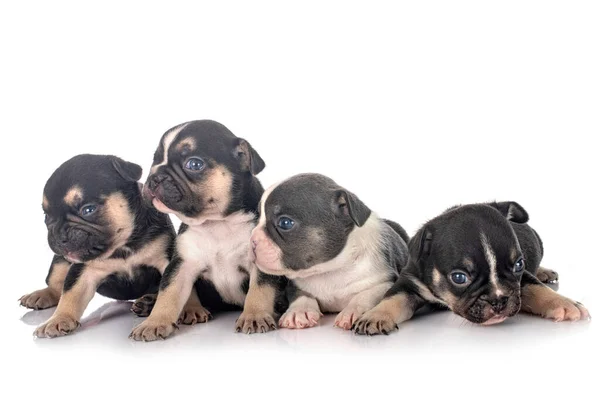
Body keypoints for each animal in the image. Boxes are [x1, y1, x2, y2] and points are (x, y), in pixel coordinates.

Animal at [21, 155, 176, 340]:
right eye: (47, 216)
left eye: (88, 210)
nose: (59, 235)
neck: (122, 246)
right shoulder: (83, 271)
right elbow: (70, 294)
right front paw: (58, 318)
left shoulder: (165, 259)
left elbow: (171, 289)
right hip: (58, 262)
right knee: (56, 286)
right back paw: (41, 295)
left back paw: (148, 303)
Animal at [129, 120, 284, 342]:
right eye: (155, 161)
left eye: (194, 164)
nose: (155, 176)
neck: (217, 223)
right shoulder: (183, 264)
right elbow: (169, 293)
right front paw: (154, 322)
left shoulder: (262, 261)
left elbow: (259, 289)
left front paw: (254, 315)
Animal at [248, 173, 408, 330]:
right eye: (258, 218)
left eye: (285, 223)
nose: (252, 239)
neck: (328, 270)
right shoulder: (294, 284)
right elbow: (301, 294)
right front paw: (299, 311)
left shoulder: (385, 282)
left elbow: (366, 295)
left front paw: (352, 311)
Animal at [352, 202, 592, 336]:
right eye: (459, 278)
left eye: (519, 264)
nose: (499, 300)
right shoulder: (409, 283)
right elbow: (393, 298)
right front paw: (374, 316)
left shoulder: (523, 277)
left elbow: (537, 288)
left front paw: (565, 303)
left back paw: (545, 271)